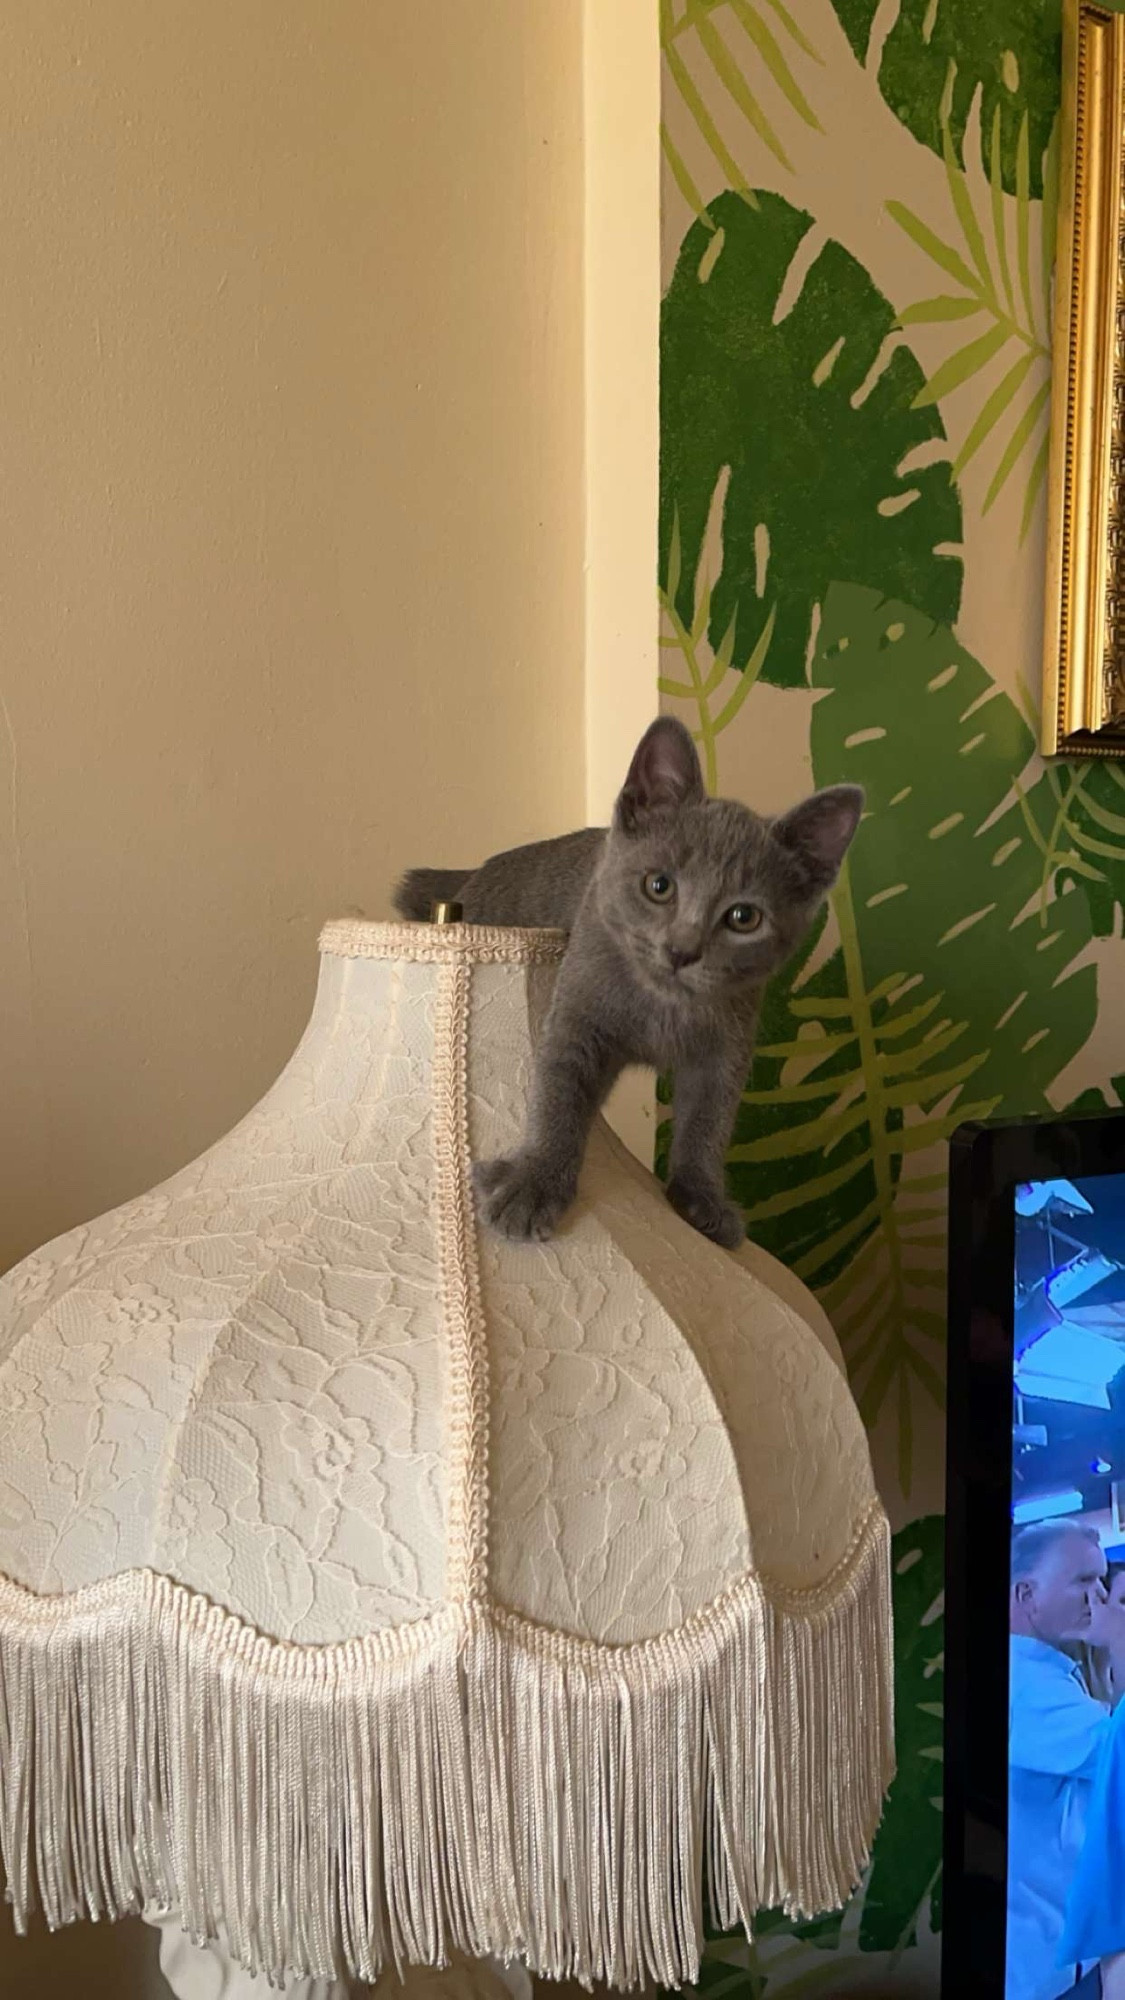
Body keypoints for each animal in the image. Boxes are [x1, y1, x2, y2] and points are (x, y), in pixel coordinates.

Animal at [394, 720, 856, 1248]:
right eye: (659, 886)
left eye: (744, 918)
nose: (682, 950)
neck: (660, 1008)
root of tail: (477, 871)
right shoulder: (577, 1015)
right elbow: (559, 1095)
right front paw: (534, 1185)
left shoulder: (727, 1046)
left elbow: (710, 1123)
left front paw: (703, 1199)